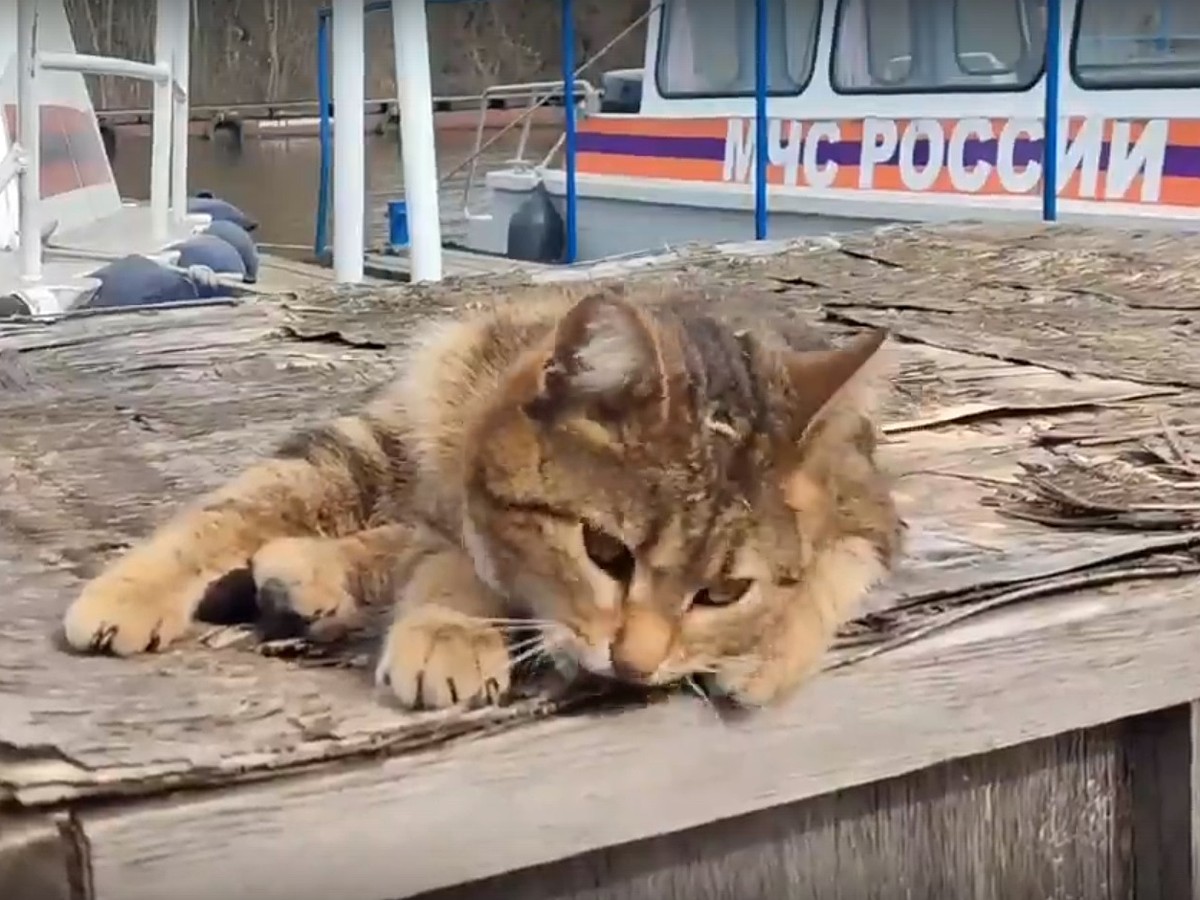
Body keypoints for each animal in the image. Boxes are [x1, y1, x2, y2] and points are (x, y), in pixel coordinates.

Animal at [58, 282, 902, 710]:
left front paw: (769, 646)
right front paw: (134, 589)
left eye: (724, 591)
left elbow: (839, 569)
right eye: (605, 551)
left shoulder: (872, 506)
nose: (633, 666)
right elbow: (239, 505)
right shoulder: (374, 443)